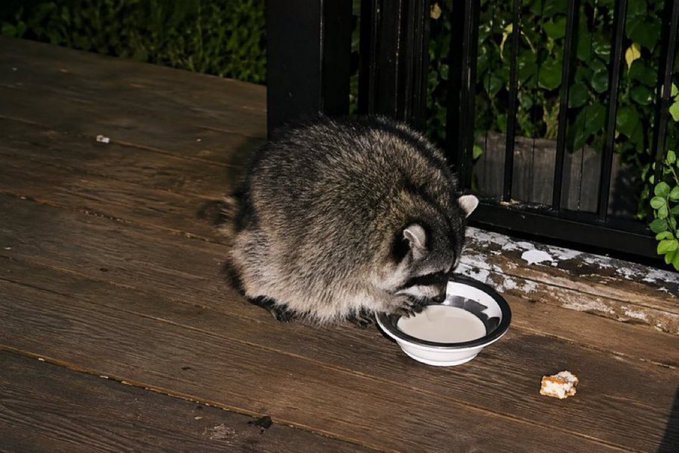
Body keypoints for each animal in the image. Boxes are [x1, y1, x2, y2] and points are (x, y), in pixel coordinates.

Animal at [225, 116, 478, 325]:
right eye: (432, 274)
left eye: (452, 270)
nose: (441, 297)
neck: (419, 198)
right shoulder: (339, 239)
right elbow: (326, 285)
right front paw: (378, 298)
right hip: (272, 225)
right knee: (266, 264)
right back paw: (257, 290)